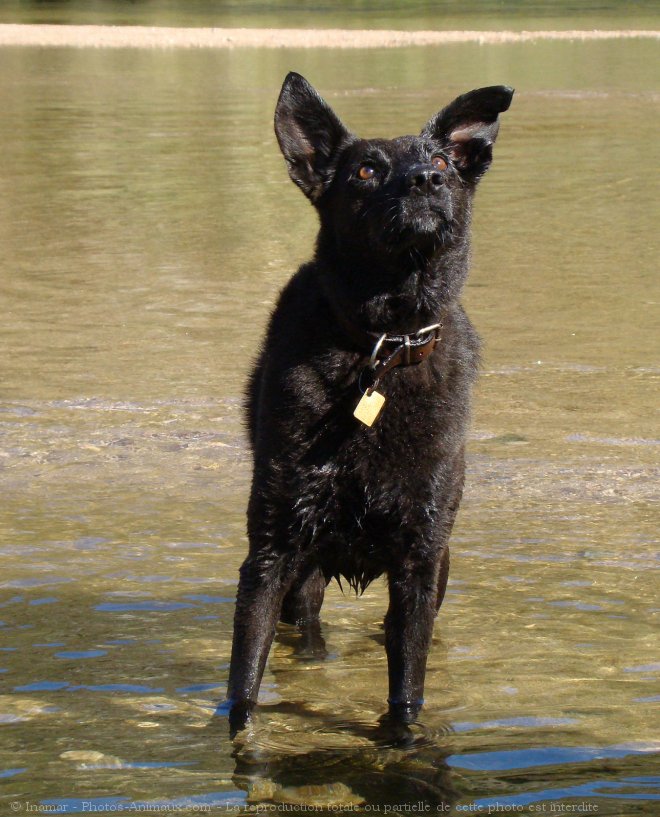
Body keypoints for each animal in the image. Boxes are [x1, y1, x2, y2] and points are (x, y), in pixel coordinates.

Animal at [229, 73, 512, 728]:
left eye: (442, 161)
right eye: (365, 171)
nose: (428, 181)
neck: (385, 346)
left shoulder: (420, 558)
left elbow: (407, 689)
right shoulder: (272, 549)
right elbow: (244, 689)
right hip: (305, 565)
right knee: (305, 623)